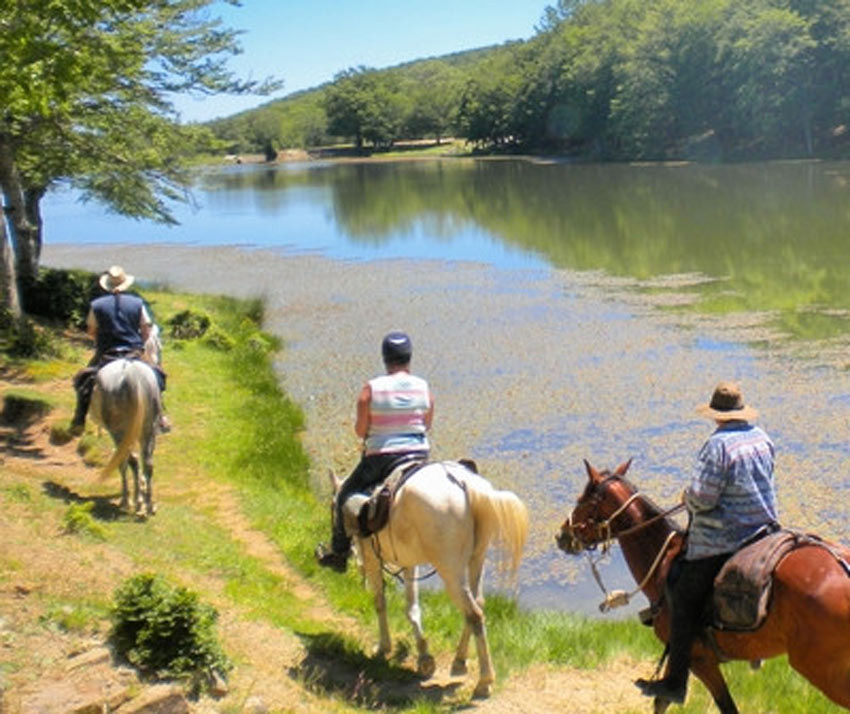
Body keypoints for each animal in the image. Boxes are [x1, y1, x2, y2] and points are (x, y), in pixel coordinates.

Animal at [328, 456, 528, 696]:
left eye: (332, 507)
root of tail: (465, 484)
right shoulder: (409, 563)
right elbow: (412, 607)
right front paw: (424, 656)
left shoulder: (372, 557)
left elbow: (380, 602)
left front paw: (384, 647)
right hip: (476, 560)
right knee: (477, 604)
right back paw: (459, 661)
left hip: (450, 571)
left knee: (474, 613)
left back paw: (484, 680)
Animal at [552, 458, 848, 708]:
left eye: (582, 499)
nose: (561, 535)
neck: (663, 562)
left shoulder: (698, 659)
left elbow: (684, 699)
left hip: (823, 671)